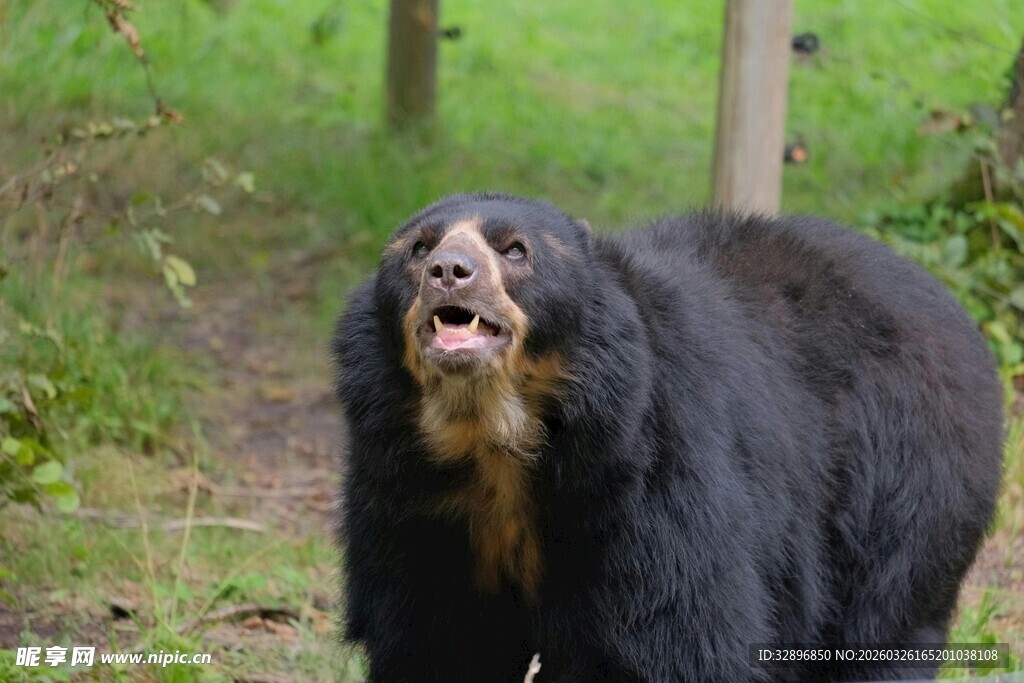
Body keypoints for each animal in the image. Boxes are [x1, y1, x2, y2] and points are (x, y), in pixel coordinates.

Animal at [332, 193, 1003, 682]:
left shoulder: (658, 473)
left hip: (907, 492)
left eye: (515, 250)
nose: (449, 273)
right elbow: (436, 640)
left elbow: (679, 631)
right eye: (418, 248)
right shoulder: (408, 502)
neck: (495, 443)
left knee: (882, 629)